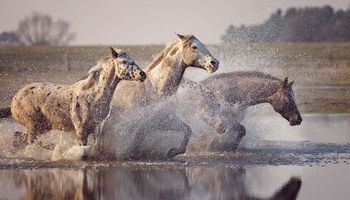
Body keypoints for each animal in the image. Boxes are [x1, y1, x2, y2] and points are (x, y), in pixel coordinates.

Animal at [10, 48, 146, 152]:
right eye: (124, 61)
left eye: (133, 61)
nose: (143, 74)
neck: (93, 96)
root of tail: (16, 97)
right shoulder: (81, 130)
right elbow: (84, 148)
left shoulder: (97, 128)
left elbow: (97, 147)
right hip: (33, 124)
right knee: (30, 140)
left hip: (44, 126)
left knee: (20, 138)